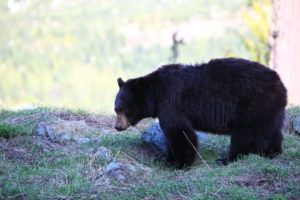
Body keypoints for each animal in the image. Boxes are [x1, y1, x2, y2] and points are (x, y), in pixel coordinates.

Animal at [113, 58, 288, 169]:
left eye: (122, 109)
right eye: (115, 109)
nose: (117, 126)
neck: (155, 93)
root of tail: (280, 84)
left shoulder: (171, 101)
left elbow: (179, 131)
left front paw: (181, 163)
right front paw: (167, 160)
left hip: (252, 105)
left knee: (246, 135)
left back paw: (228, 158)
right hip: (271, 110)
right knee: (272, 131)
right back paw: (273, 152)